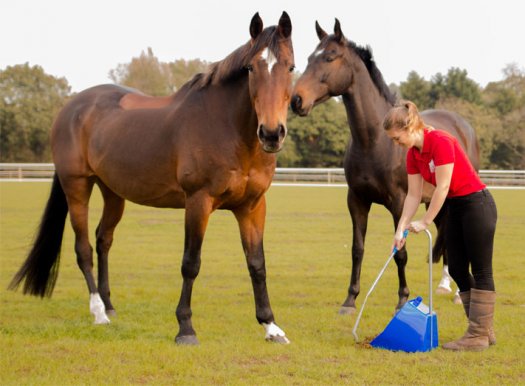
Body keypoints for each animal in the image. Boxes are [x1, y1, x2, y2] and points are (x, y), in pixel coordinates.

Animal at [9, 12, 294, 346]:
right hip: (76, 186)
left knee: (103, 239)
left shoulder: (252, 206)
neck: (228, 128)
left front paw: (271, 326)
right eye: (251, 68)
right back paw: (99, 313)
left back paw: (109, 304)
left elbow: (257, 264)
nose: (271, 133)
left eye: (291, 67)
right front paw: (185, 328)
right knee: (84, 249)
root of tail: (70, 108)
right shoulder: (198, 202)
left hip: (112, 192)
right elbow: (191, 263)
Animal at [290, 19, 478, 314]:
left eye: (330, 57)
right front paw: (350, 300)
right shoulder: (356, 200)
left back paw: (459, 292)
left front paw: (402, 299)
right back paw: (444, 285)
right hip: (435, 202)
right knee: (445, 236)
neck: (374, 142)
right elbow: (357, 249)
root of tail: (462, 125)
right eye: (309, 58)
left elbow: (400, 252)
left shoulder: (400, 203)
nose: (296, 100)